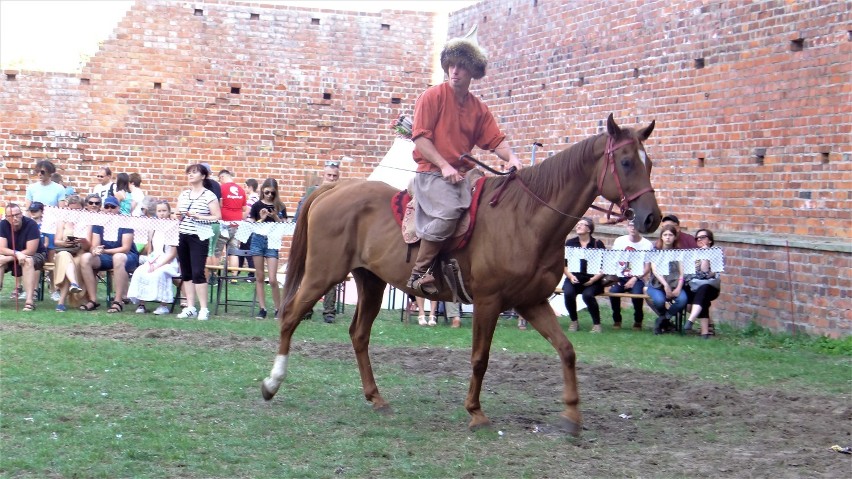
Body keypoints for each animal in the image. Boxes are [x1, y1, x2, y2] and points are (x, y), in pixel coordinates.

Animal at [262, 114, 664, 436]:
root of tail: (333, 187)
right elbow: (480, 358)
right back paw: (272, 383)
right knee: (290, 316)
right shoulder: (488, 302)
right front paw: (476, 413)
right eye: (626, 162)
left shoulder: (531, 302)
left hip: (370, 281)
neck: (526, 218)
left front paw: (571, 417)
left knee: (358, 335)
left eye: (650, 163)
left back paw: (376, 398)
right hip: (322, 274)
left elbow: (566, 351)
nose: (651, 219)